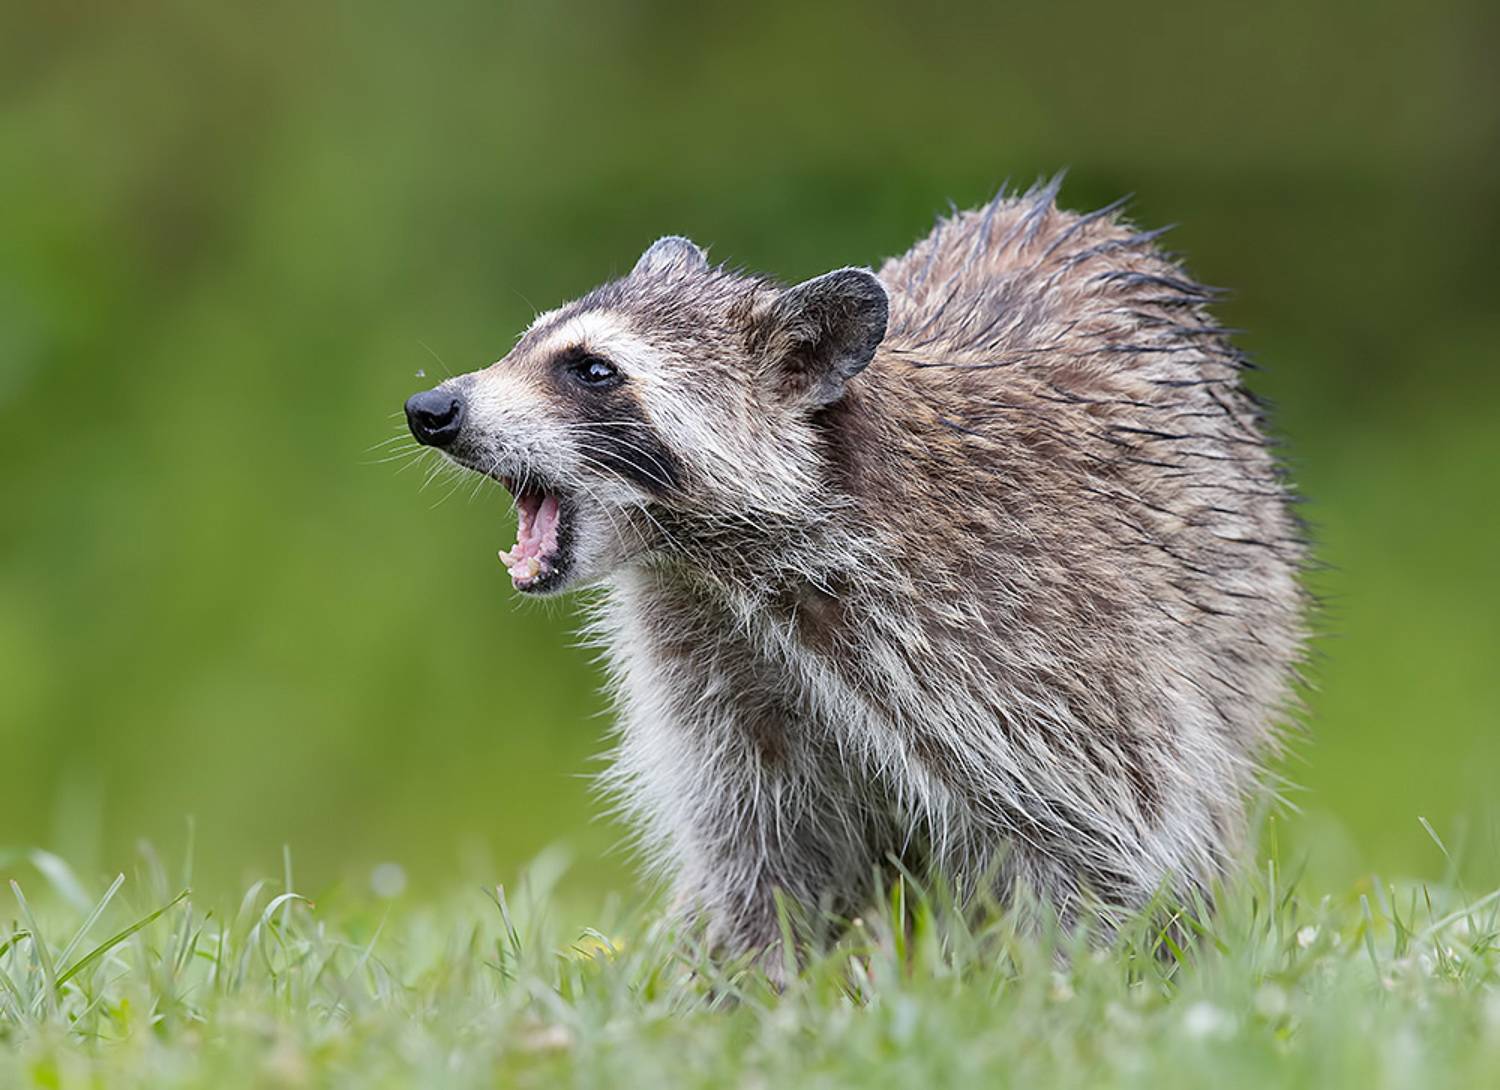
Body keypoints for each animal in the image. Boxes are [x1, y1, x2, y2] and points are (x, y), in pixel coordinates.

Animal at [404, 178, 1306, 959]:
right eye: (525, 342)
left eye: (593, 369)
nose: (430, 409)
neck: (715, 563)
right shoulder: (712, 659)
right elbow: (765, 847)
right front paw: (738, 980)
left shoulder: (1034, 631)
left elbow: (1097, 835)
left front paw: (1056, 983)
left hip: (1240, 624)